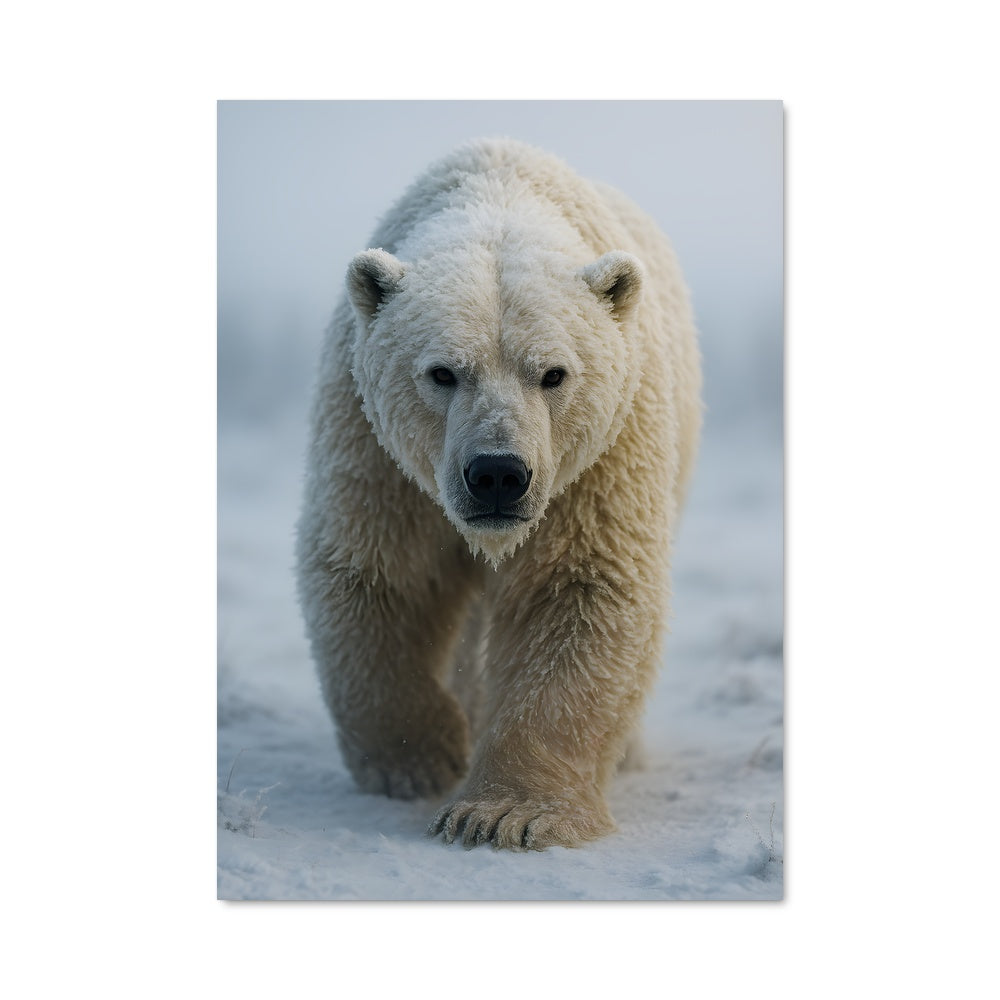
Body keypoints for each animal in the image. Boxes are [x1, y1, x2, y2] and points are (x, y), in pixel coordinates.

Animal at [296, 138, 701, 850]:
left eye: (554, 374)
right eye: (442, 372)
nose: (497, 475)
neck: (499, 194)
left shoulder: (598, 461)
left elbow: (578, 589)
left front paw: (503, 814)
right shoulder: (379, 454)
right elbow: (382, 572)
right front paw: (420, 758)